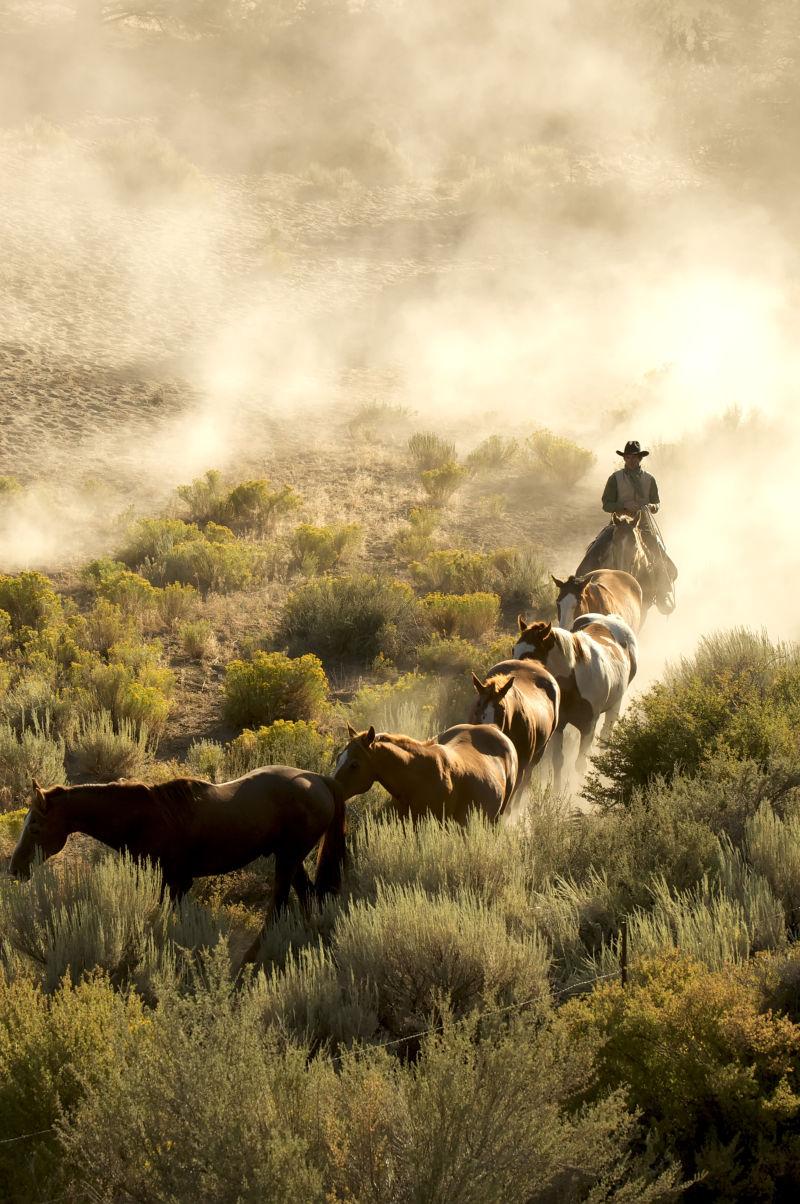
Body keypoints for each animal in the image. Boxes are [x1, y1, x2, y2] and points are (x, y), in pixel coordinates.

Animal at [8, 770, 346, 968]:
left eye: (35, 827)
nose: (14, 868)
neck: (144, 818)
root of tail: (320, 780)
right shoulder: (176, 883)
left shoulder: (175, 881)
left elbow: (166, 920)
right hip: (290, 857)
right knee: (306, 895)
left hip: (287, 857)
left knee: (279, 904)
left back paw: (248, 961)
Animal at [515, 611, 640, 789]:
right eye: (514, 649)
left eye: (532, 653)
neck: (575, 682)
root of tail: (611, 618)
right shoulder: (559, 726)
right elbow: (558, 761)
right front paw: (557, 791)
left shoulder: (588, 728)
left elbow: (580, 764)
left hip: (614, 706)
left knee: (605, 737)